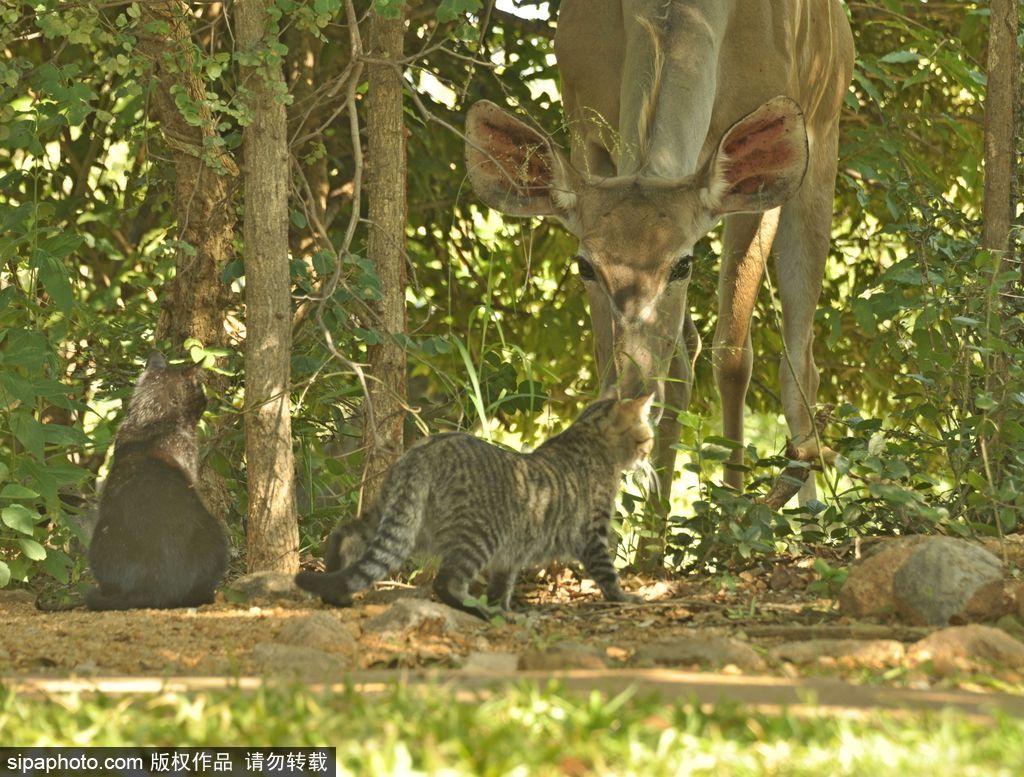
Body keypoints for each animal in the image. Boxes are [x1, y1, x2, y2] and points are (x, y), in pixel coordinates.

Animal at [294, 397, 655, 618]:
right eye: (647, 439)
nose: (648, 456)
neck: (588, 437)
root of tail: (426, 449)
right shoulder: (593, 532)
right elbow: (607, 571)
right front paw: (622, 597)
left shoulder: (511, 552)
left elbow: (502, 583)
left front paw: (504, 605)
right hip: (478, 534)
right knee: (446, 582)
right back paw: (479, 610)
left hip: (399, 515)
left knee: (345, 533)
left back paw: (336, 585)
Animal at [468, 1, 851, 536]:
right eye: (585, 266)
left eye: (683, 264)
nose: (634, 389)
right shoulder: (586, 131)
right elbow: (640, 359)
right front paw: (634, 533)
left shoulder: (754, 188)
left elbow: (733, 356)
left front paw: (728, 521)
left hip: (822, 139)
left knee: (800, 360)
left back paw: (809, 513)